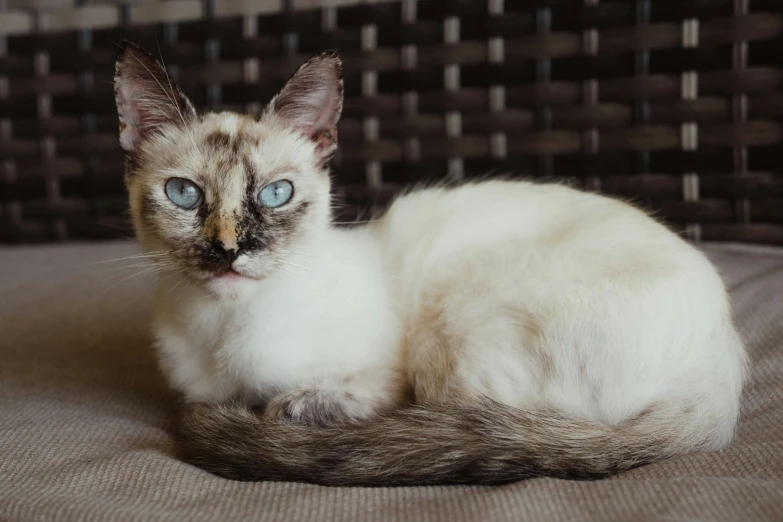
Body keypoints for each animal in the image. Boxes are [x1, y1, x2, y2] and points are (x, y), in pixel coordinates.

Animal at [115, 40, 748, 484]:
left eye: (276, 194)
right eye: (184, 195)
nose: (229, 249)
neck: (218, 334)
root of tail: (720, 381)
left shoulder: (386, 379)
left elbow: (308, 407)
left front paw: (287, 409)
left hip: (449, 346)